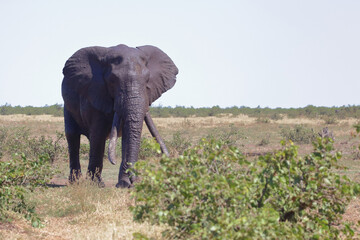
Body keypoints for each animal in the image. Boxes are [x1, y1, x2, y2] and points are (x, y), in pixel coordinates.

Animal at [62, 44, 179, 188]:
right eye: (113, 80)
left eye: (147, 80)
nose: (134, 181)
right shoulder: (95, 93)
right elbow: (98, 135)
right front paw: (96, 184)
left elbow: (127, 135)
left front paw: (123, 184)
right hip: (67, 105)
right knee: (72, 135)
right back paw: (75, 182)